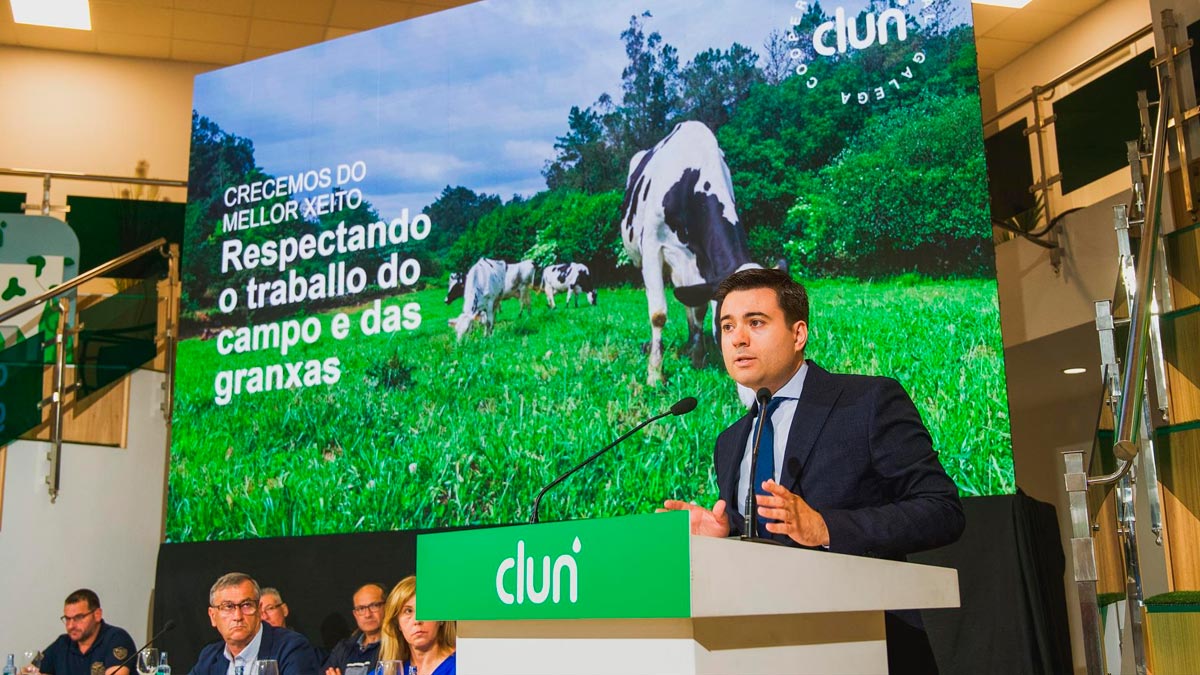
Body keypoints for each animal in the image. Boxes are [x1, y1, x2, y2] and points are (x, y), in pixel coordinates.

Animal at [624, 120, 753, 384]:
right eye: (729, 325)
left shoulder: (701, 262)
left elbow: (699, 308)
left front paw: (697, 355)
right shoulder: (652, 247)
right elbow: (658, 314)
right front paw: (655, 374)